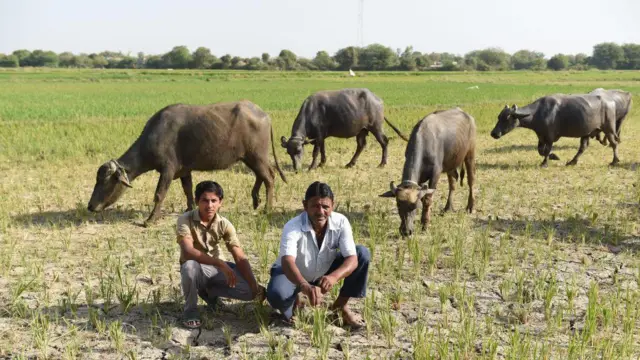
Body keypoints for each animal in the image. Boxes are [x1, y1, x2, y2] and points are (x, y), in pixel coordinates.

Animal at [89, 100, 288, 226]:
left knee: (269, 177)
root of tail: (263, 114)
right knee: (261, 175)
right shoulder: (184, 170)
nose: (90, 206)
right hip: (249, 157)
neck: (156, 135)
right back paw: (256, 199)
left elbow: (159, 194)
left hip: (257, 155)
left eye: (106, 181)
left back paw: (267, 208)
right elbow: (188, 190)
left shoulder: (167, 170)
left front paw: (150, 220)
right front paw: (190, 208)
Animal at [282, 88, 410, 171]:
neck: (311, 112)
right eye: (288, 152)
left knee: (384, 142)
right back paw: (350, 163)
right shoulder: (321, 137)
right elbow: (323, 150)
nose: (296, 168)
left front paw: (312, 166)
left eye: (299, 151)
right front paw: (321, 164)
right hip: (361, 130)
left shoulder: (318, 136)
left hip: (376, 127)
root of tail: (377, 99)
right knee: (361, 145)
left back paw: (382, 164)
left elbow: (316, 152)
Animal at [380, 107, 476, 236]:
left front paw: (425, 224)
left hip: (470, 154)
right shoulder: (420, 178)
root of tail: (468, 116)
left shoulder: (435, 173)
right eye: (398, 205)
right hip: (450, 163)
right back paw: (448, 207)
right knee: (452, 183)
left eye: (415, 206)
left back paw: (470, 206)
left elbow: (427, 199)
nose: (406, 231)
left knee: (471, 180)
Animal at [490, 93, 620, 167]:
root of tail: (610, 102)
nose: (494, 133)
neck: (538, 113)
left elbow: (546, 150)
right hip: (586, 132)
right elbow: (540, 150)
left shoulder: (550, 136)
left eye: (507, 118)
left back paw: (614, 161)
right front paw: (554, 156)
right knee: (583, 147)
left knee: (614, 143)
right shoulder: (541, 136)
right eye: (499, 117)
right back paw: (572, 162)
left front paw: (545, 163)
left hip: (609, 129)